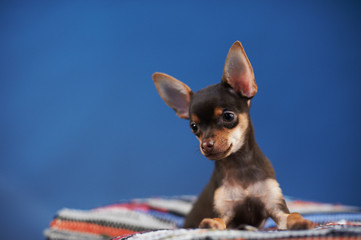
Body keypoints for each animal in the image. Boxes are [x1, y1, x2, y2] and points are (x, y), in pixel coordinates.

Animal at [150, 41, 310, 231]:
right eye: (194, 127)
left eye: (228, 116)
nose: (205, 145)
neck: (239, 166)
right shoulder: (225, 212)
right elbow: (218, 221)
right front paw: (210, 225)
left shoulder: (275, 207)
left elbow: (291, 215)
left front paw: (301, 222)